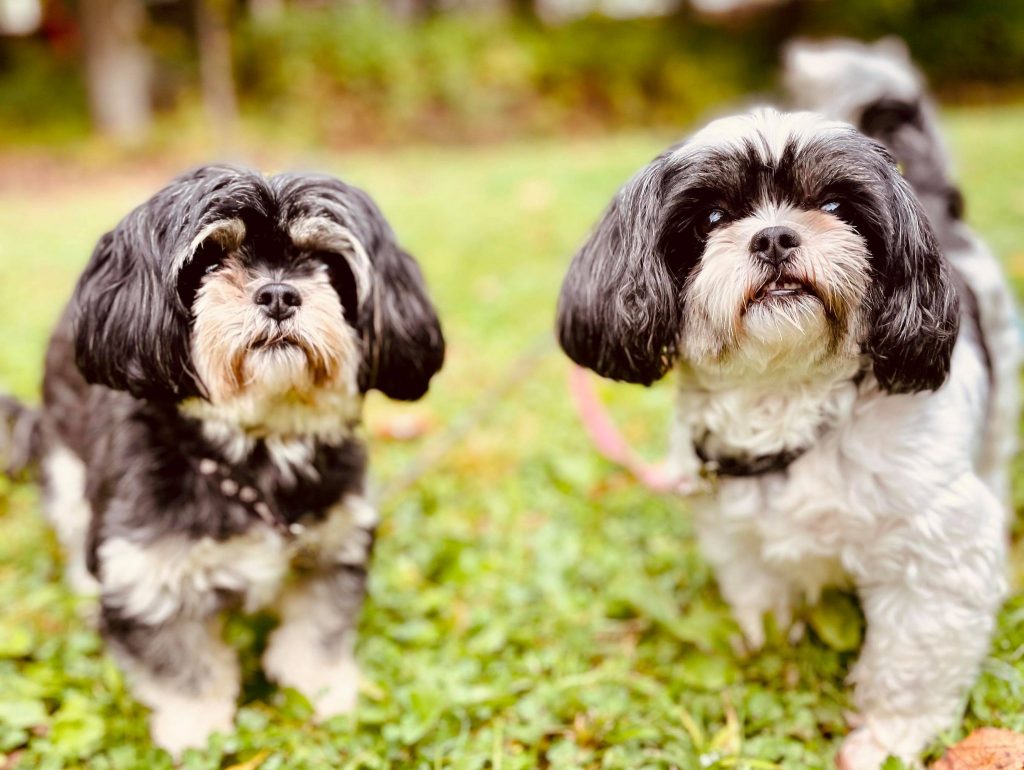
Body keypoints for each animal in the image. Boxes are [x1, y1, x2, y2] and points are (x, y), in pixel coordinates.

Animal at [2, 165, 446, 753]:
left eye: (327, 263)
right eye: (211, 259)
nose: (278, 292)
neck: (255, 455)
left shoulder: (333, 544)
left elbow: (319, 631)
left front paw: (326, 693)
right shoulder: (147, 575)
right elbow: (182, 666)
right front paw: (197, 731)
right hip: (65, 459)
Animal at [561, 109, 1015, 770]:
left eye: (832, 204)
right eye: (712, 218)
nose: (774, 237)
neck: (787, 408)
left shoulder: (936, 558)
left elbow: (913, 661)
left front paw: (889, 736)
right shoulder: (737, 535)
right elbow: (764, 600)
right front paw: (773, 651)